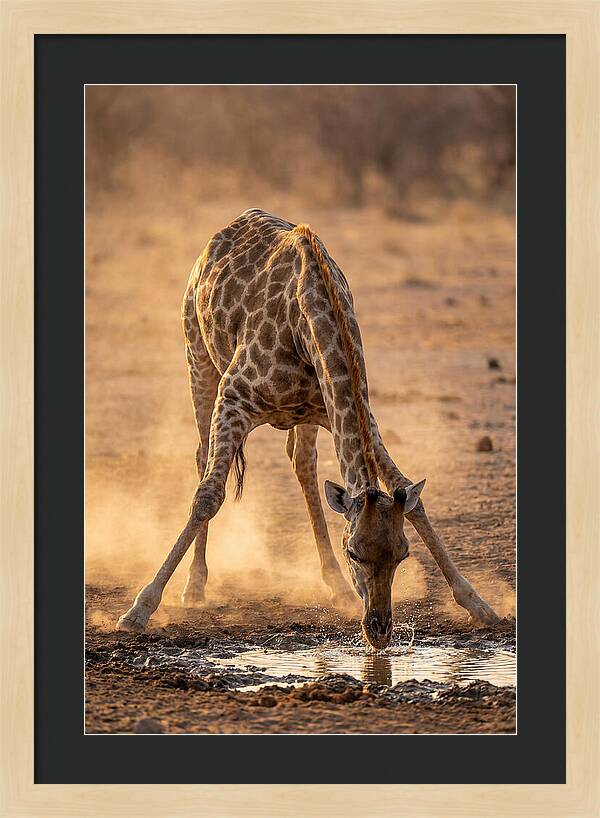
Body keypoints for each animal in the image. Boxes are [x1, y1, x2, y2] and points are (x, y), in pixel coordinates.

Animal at [117, 208, 500, 647]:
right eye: (354, 552)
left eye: (402, 553)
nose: (379, 630)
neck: (310, 318)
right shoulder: (233, 397)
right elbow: (208, 496)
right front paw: (140, 608)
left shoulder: (349, 411)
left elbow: (410, 498)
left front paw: (478, 604)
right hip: (197, 358)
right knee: (203, 459)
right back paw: (195, 587)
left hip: (304, 416)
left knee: (302, 463)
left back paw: (336, 586)